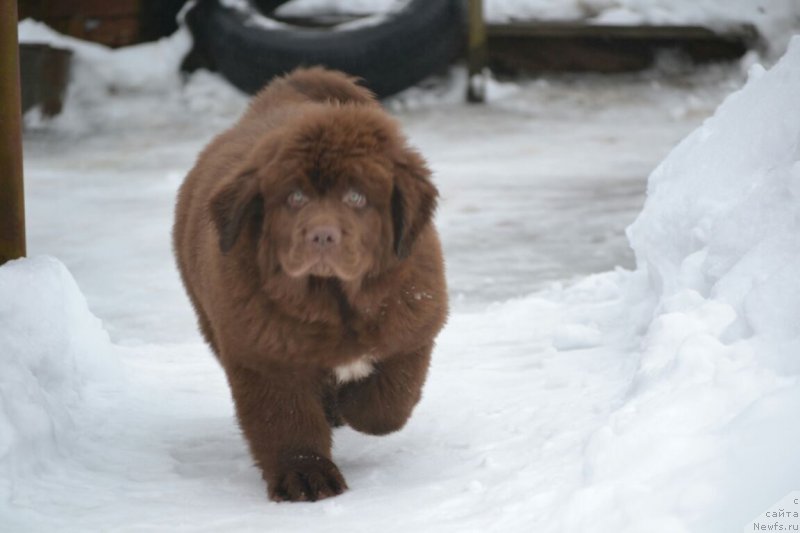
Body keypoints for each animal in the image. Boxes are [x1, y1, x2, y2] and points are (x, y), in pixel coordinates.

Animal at [174, 66, 446, 498]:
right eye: (295, 198)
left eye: (356, 198)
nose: (321, 235)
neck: (334, 301)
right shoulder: (265, 356)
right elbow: (287, 421)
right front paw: (305, 478)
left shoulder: (412, 326)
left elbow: (388, 403)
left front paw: (354, 406)